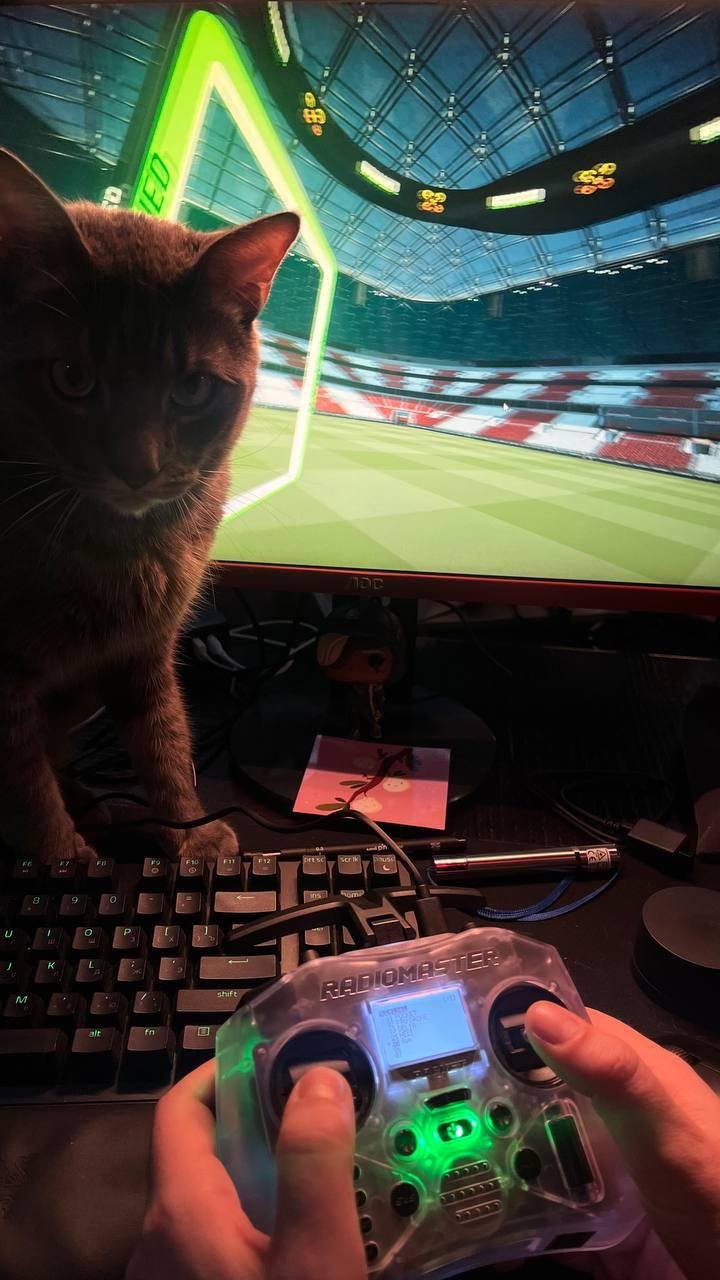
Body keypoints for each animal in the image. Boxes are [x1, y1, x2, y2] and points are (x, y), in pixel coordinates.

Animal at [0, 149, 298, 862]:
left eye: (192, 389)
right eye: (72, 377)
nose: (139, 469)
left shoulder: (146, 647)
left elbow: (164, 738)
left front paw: (191, 833)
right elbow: (25, 782)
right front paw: (64, 860)